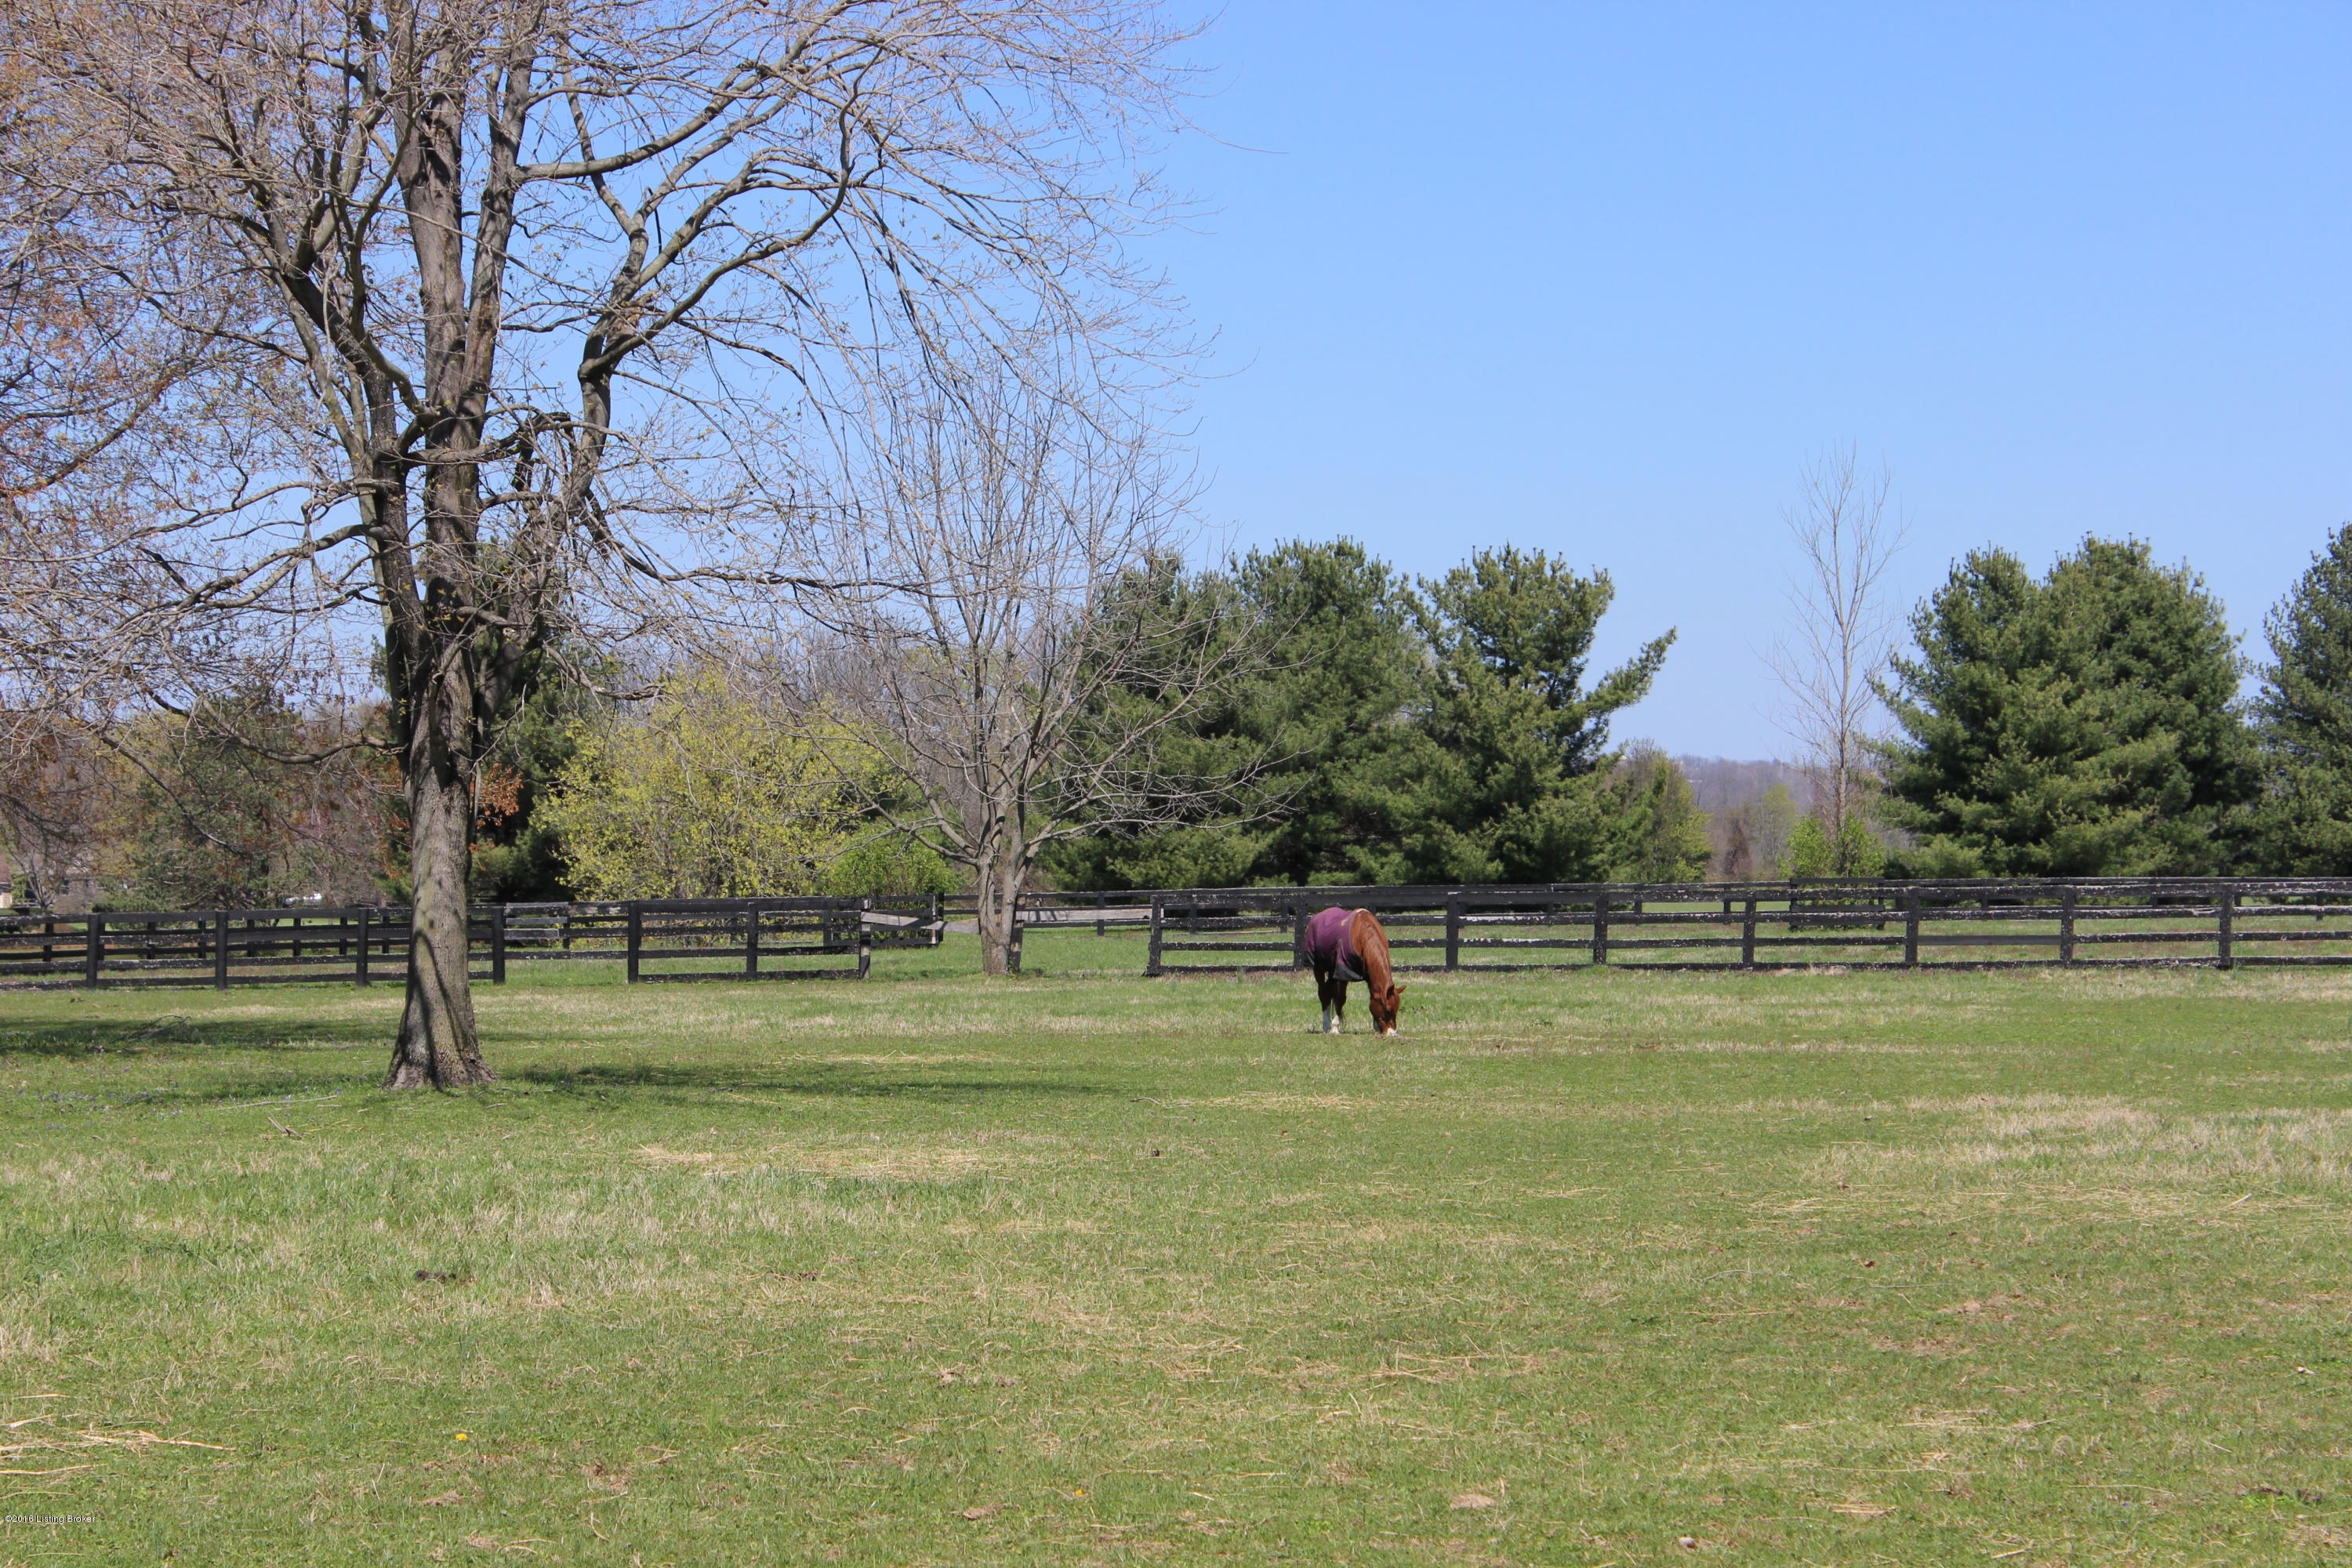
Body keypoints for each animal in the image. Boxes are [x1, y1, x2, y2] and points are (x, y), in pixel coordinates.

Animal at [1303, 905, 1404, 1036]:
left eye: (1396, 1009)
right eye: (1387, 1009)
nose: (1392, 1033)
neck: (1361, 933)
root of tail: (1317, 917)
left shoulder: (1369, 976)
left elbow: (1373, 996)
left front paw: (1376, 1027)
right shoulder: (1343, 972)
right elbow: (1340, 998)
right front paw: (1335, 1027)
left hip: (1332, 971)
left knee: (1329, 990)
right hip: (1318, 968)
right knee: (1323, 992)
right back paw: (1326, 1026)